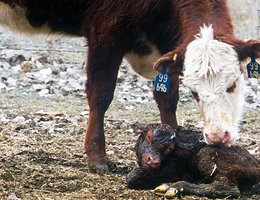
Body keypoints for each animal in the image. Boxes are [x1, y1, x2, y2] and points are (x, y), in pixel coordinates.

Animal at [0, 0, 260, 172]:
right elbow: (101, 94)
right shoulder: (106, 31)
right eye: (195, 91)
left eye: (233, 83)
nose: (217, 136)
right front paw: (97, 157)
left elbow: (167, 98)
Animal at [127, 123, 260, 198]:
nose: (154, 161)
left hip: (209, 158)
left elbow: (134, 175)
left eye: (170, 148)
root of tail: (256, 163)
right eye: (148, 136)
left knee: (228, 188)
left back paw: (173, 187)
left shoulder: (174, 171)